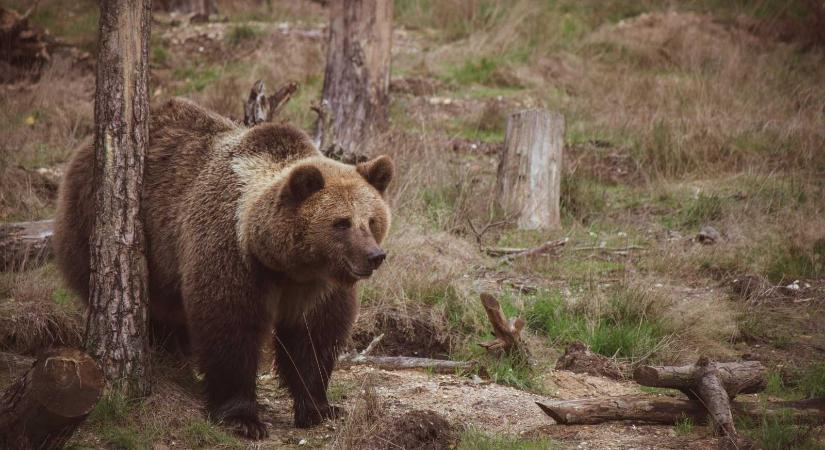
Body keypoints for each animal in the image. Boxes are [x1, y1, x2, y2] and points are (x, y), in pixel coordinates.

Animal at [53, 96, 394, 438]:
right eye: (342, 223)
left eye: (371, 220)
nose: (374, 256)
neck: (284, 263)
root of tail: (85, 147)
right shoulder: (231, 255)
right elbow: (230, 327)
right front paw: (242, 418)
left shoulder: (316, 286)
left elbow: (313, 337)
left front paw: (320, 408)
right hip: (100, 226)